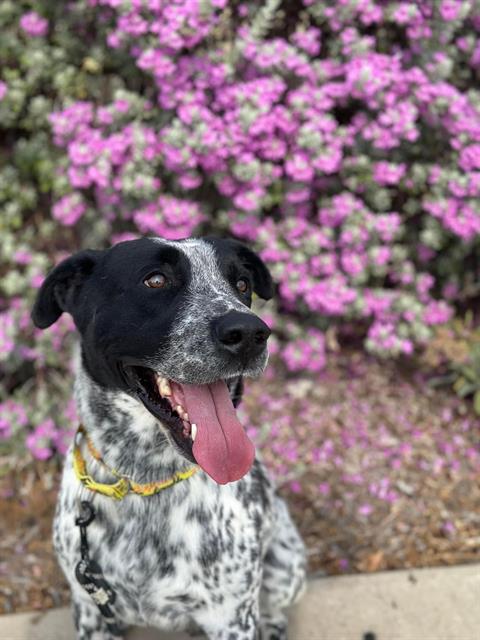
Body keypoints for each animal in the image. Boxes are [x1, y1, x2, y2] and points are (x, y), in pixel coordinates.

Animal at [31, 238, 306, 640]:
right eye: (156, 280)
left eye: (241, 285)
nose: (250, 333)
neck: (145, 480)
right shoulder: (89, 608)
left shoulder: (232, 618)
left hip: (287, 569)